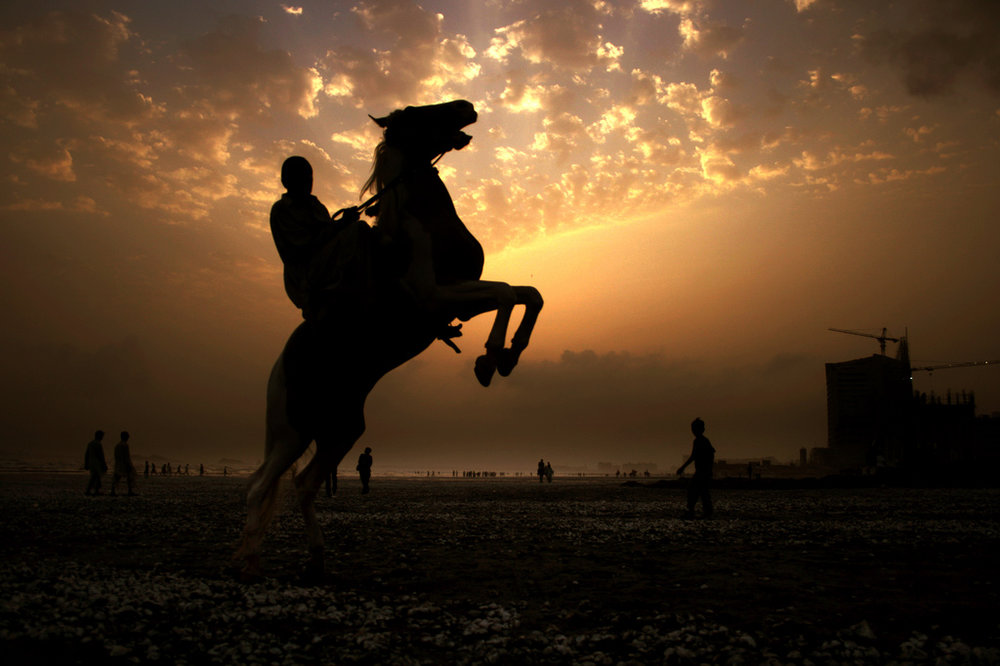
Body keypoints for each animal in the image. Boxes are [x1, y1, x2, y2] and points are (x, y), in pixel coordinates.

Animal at [234, 100, 544, 580]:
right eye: (419, 113)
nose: (467, 107)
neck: (421, 226)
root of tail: (279, 370)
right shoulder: (434, 297)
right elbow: (509, 293)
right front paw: (490, 358)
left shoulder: (459, 298)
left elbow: (526, 293)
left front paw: (508, 356)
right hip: (294, 431)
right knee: (260, 487)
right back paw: (250, 562)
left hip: (341, 428)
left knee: (302, 484)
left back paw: (318, 558)